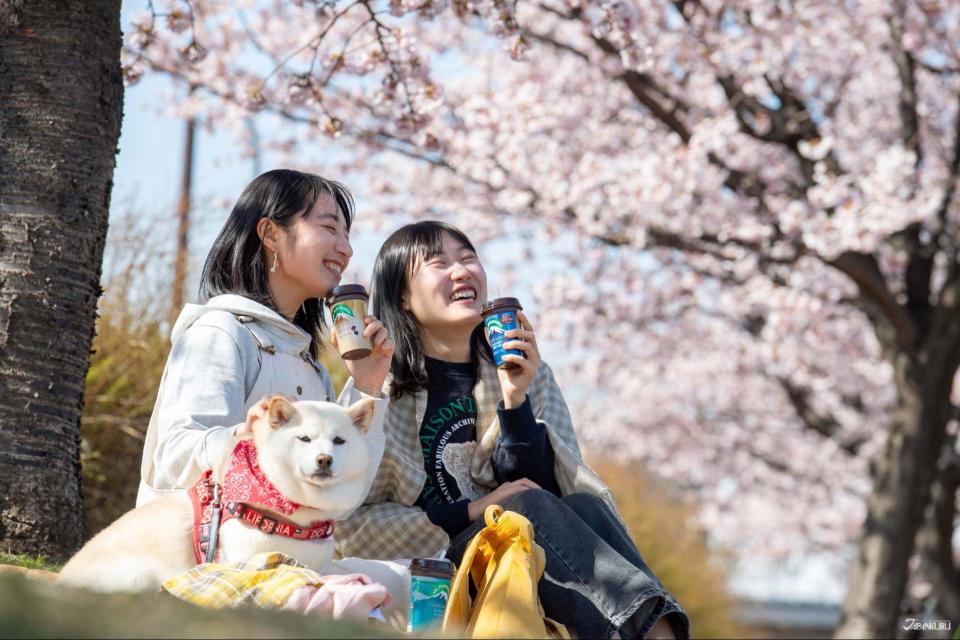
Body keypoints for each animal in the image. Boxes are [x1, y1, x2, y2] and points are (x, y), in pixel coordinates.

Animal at [58, 396, 376, 596]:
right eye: (305, 439)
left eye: (339, 441)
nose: (324, 460)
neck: (291, 521)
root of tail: (61, 577)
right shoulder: (247, 560)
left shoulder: (318, 565)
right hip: (138, 576)